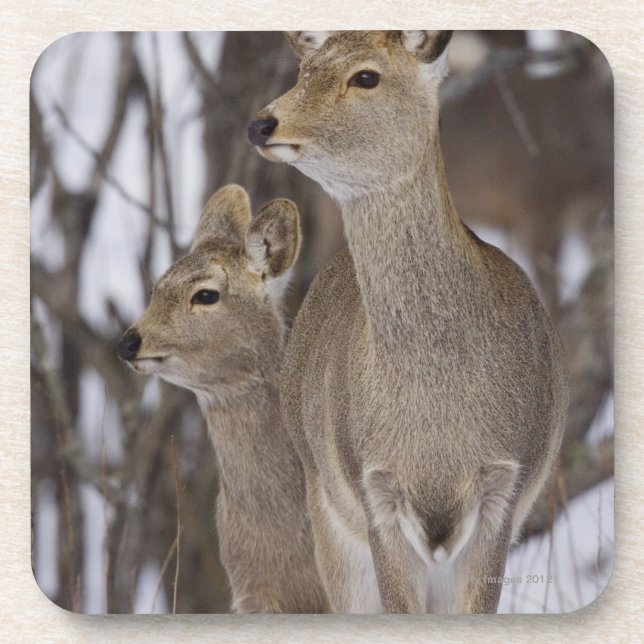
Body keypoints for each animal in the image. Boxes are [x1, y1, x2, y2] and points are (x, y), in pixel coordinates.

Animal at [248, 31, 568, 613]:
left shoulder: (504, 492)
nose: (262, 123)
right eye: (303, 71)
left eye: (366, 76)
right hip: (328, 513)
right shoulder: (375, 493)